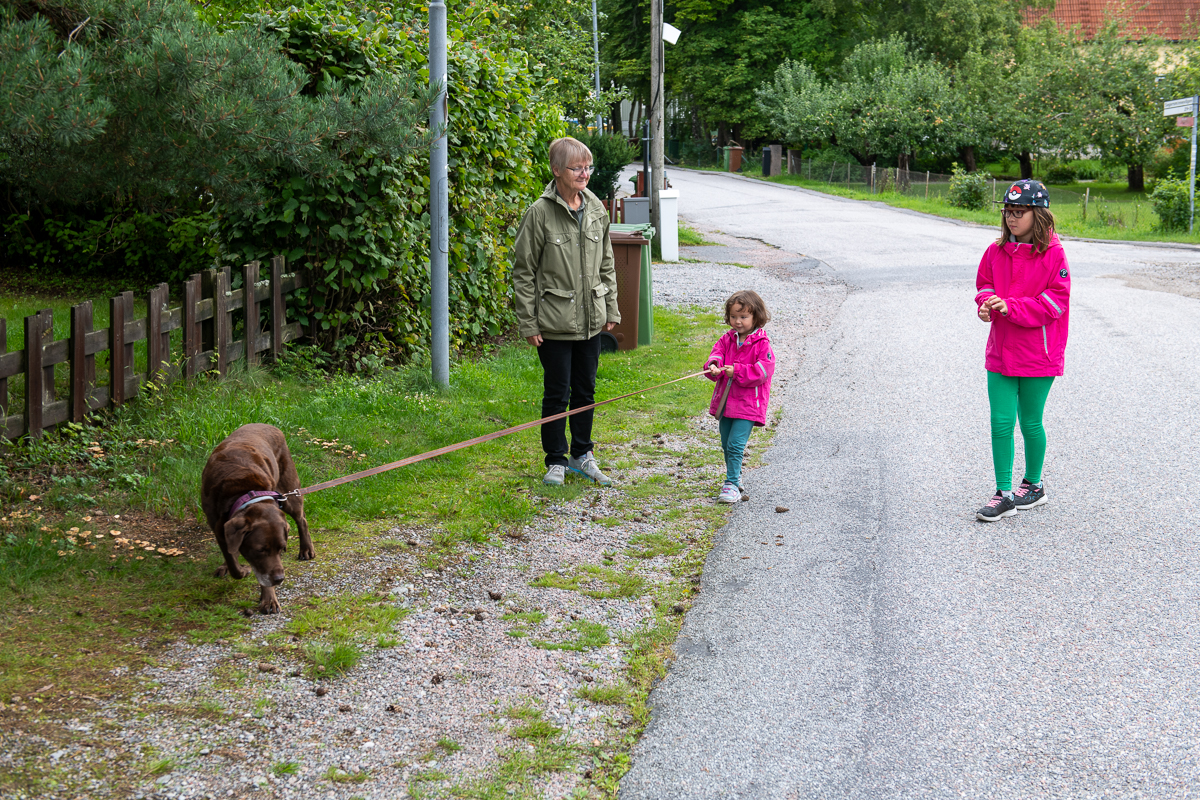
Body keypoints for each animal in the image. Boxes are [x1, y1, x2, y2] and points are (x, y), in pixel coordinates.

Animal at [201, 424, 314, 614]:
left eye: (282, 549)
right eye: (260, 550)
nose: (279, 579)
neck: (243, 493)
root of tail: (268, 425)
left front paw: (268, 599)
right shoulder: (218, 527)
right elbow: (232, 560)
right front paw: (239, 569)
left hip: (289, 492)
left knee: (301, 519)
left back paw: (306, 549)